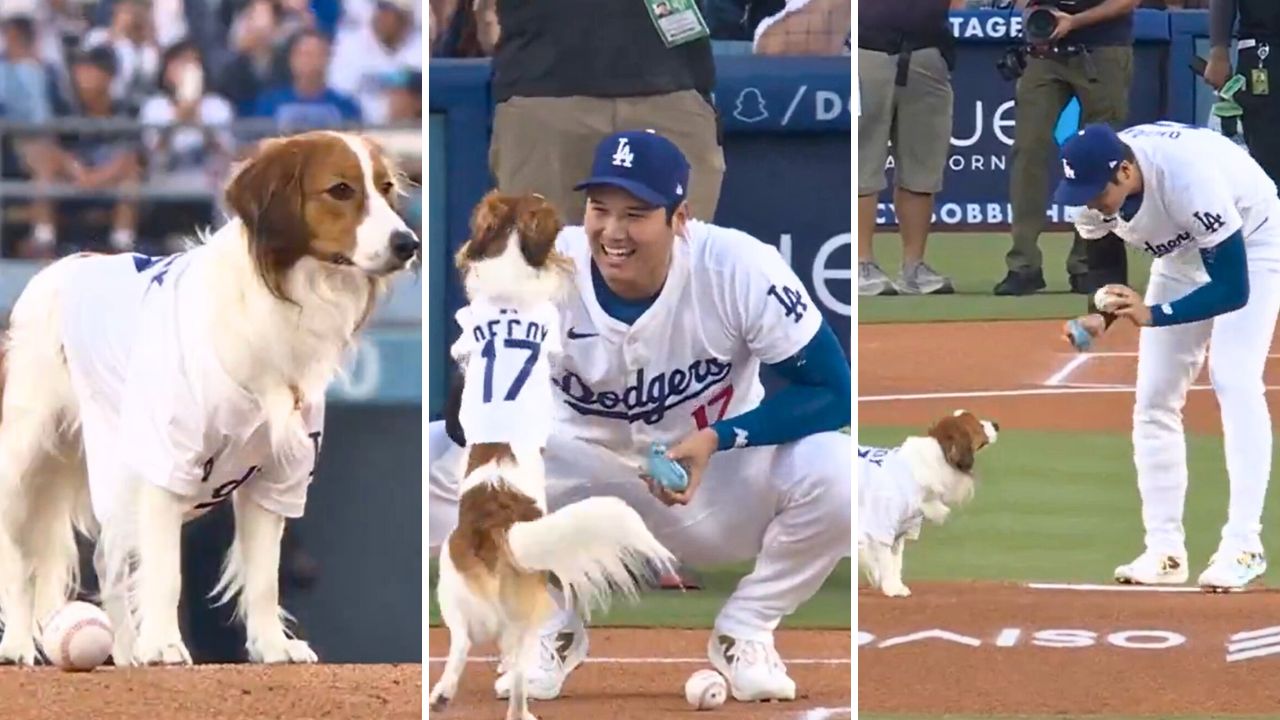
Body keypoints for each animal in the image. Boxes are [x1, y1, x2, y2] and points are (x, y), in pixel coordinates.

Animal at [0, 131, 422, 666]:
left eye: (386, 188)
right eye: (341, 190)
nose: (408, 244)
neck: (279, 301)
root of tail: (59, 266)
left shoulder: (280, 474)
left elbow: (263, 576)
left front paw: (271, 646)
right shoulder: (166, 460)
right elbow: (165, 571)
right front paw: (164, 642)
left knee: (108, 559)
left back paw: (124, 651)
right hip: (25, 456)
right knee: (16, 556)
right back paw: (17, 644)